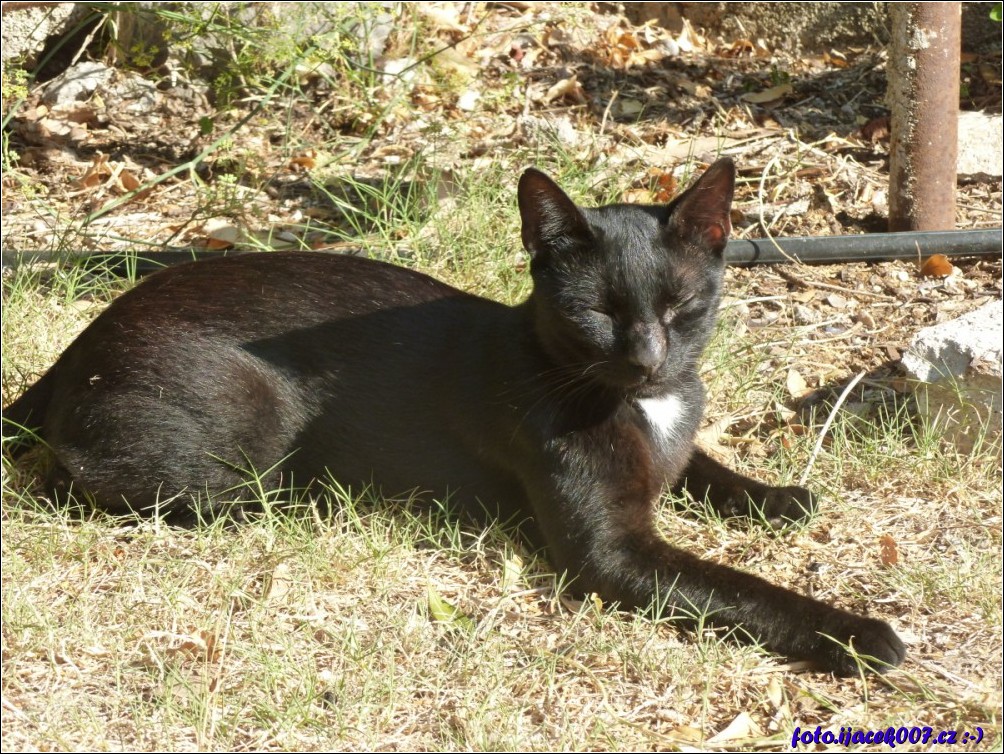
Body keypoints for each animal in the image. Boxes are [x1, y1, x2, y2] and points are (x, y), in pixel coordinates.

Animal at [3, 157, 907, 670]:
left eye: (681, 306)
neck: (637, 399)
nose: (648, 356)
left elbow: (702, 464)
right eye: (597, 313)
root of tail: (82, 345)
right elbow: (742, 588)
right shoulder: (616, 556)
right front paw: (861, 636)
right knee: (81, 477)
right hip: (242, 428)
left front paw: (778, 497)